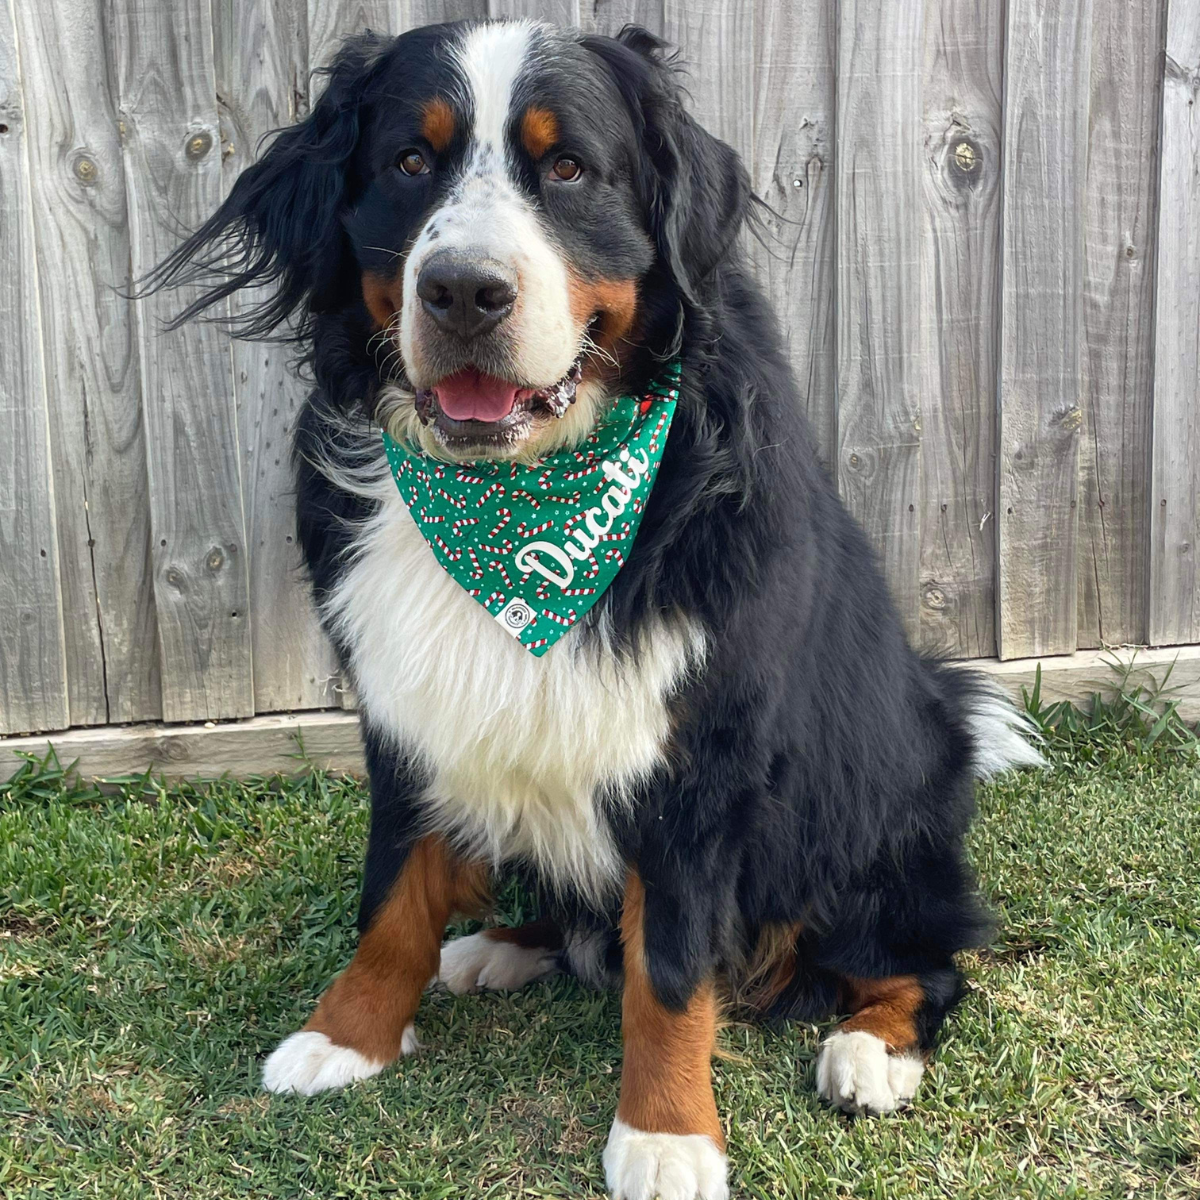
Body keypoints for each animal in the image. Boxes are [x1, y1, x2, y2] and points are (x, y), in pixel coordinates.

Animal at [152, 21, 1041, 1200]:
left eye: (569, 167)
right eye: (409, 162)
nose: (464, 291)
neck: (519, 514)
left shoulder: (694, 757)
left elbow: (666, 969)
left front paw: (665, 1135)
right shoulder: (406, 708)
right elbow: (391, 891)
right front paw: (347, 1034)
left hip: (864, 816)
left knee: (922, 962)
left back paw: (868, 1050)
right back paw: (497, 946)